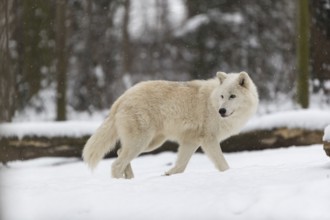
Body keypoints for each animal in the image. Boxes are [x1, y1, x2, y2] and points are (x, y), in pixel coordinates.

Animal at [82, 71, 258, 178]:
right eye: (222, 96)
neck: (212, 103)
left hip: (151, 143)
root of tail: (122, 98)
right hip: (141, 143)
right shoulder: (209, 140)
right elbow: (223, 165)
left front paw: (168, 175)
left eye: (232, 96)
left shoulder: (191, 141)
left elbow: (181, 165)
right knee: (116, 164)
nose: (222, 110)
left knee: (119, 153)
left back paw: (131, 179)